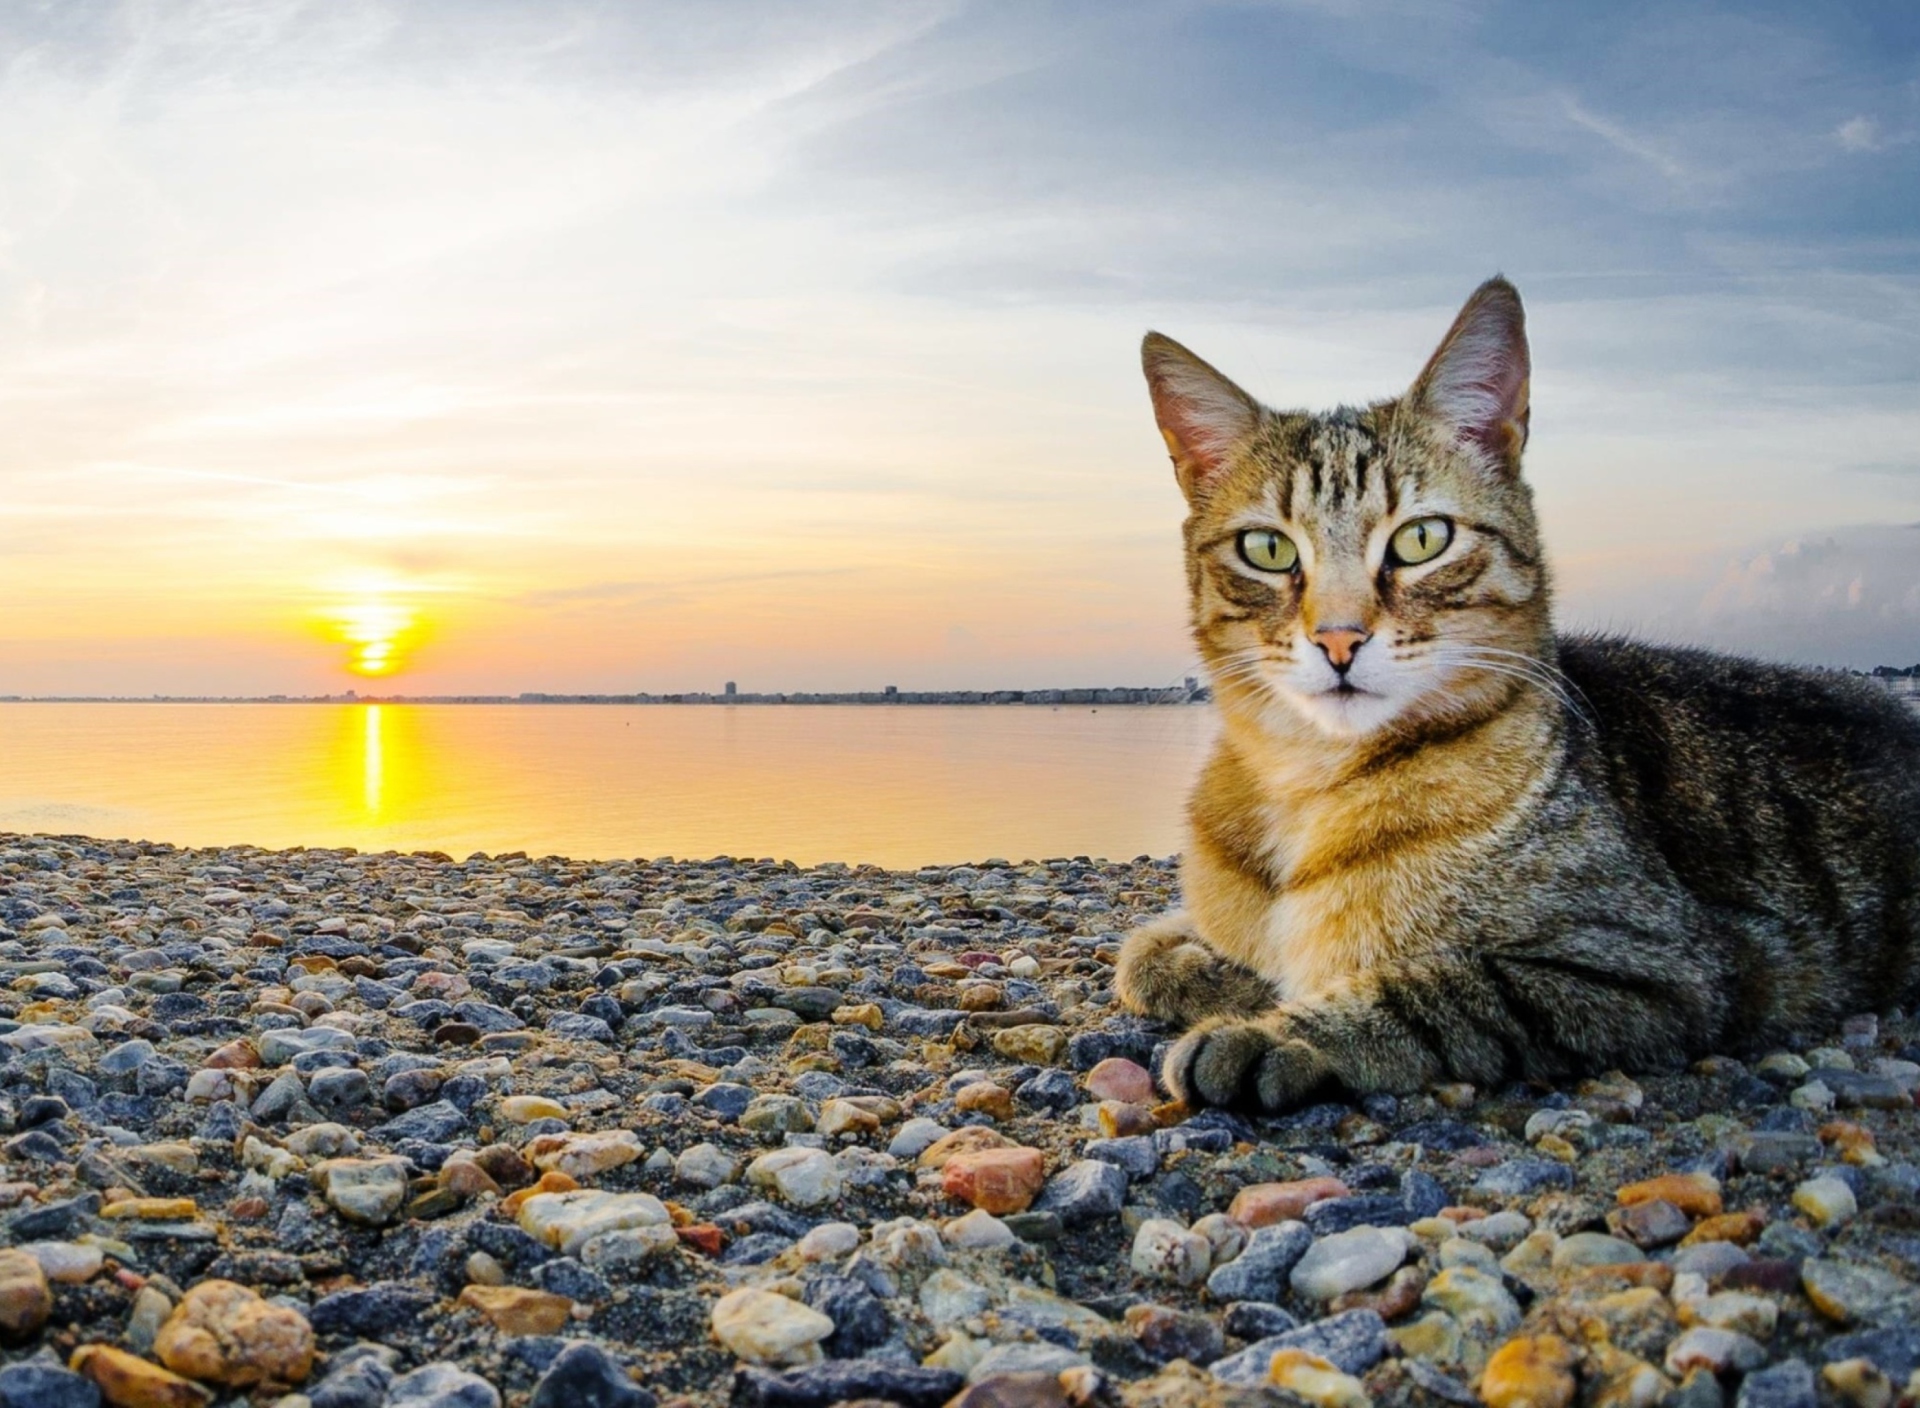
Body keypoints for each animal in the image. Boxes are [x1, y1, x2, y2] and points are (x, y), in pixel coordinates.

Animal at [1121, 272, 1920, 1106]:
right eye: (1269, 550)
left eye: (1422, 539)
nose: (1338, 638)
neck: (1302, 778)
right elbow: (1145, 953)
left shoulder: (1655, 969)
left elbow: (1440, 990)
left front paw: (1276, 1033)